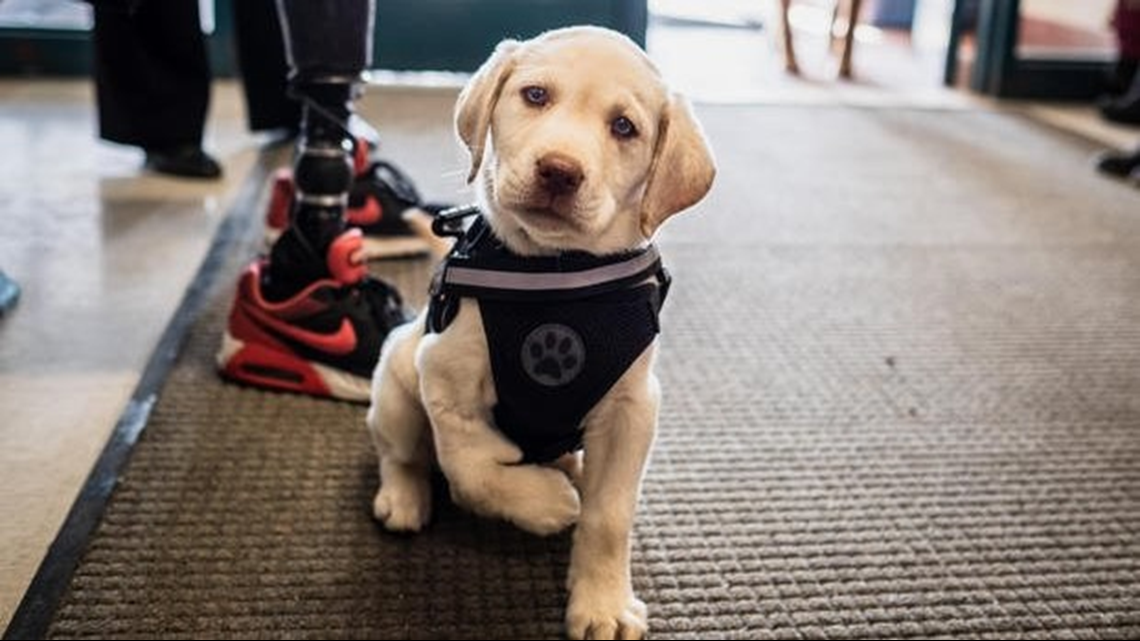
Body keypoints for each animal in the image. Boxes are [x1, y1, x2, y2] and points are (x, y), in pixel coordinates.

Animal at [369, 26, 715, 638]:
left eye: (624, 127)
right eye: (535, 95)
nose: (559, 169)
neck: (556, 272)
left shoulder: (632, 408)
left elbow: (609, 515)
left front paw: (602, 603)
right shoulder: (444, 377)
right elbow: (470, 470)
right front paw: (547, 504)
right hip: (394, 377)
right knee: (403, 453)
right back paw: (405, 499)